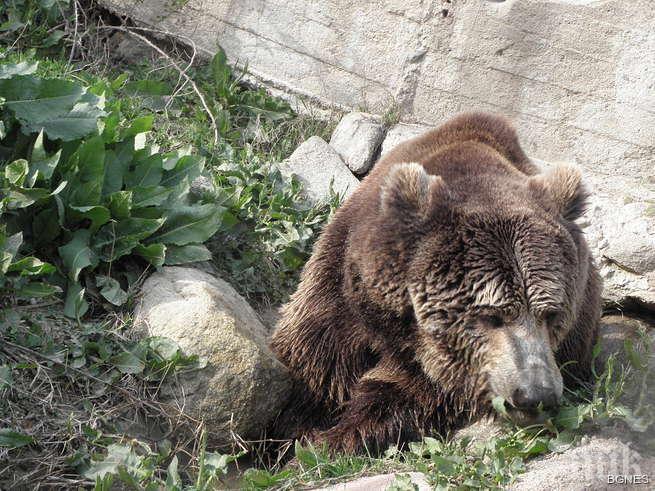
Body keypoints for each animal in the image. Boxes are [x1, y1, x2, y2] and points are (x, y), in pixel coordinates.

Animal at [270, 111, 604, 454]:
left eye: (551, 314)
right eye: (492, 316)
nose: (536, 393)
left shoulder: (434, 372)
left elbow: (394, 396)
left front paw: (327, 440)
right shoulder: (340, 289)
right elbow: (312, 362)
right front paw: (290, 432)